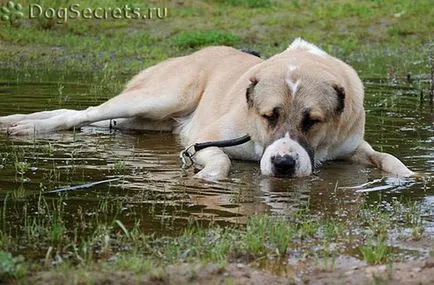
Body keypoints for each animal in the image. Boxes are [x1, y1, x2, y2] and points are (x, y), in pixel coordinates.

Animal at [0, 38, 414, 180]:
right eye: (269, 116)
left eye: (312, 121)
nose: (282, 164)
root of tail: (198, 52)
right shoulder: (206, 139)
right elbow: (221, 159)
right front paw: (210, 176)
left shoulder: (352, 146)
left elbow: (386, 157)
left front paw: (409, 176)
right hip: (163, 96)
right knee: (82, 113)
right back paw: (28, 126)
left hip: (147, 120)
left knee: (99, 119)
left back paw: (18, 121)